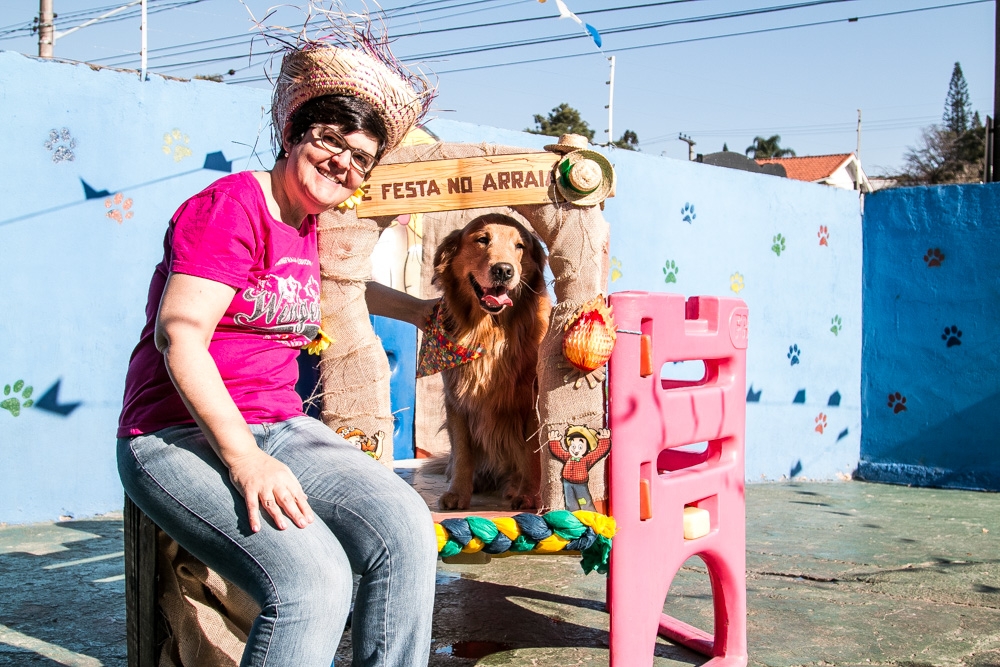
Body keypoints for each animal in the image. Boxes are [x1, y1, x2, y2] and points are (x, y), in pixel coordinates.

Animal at [432, 214, 552, 512]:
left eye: (519, 246)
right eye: (482, 239)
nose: (504, 270)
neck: (491, 329)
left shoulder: (532, 401)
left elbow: (532, 454)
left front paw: (528, 495)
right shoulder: (456, 398)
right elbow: (463, 452)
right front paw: (457, 493)